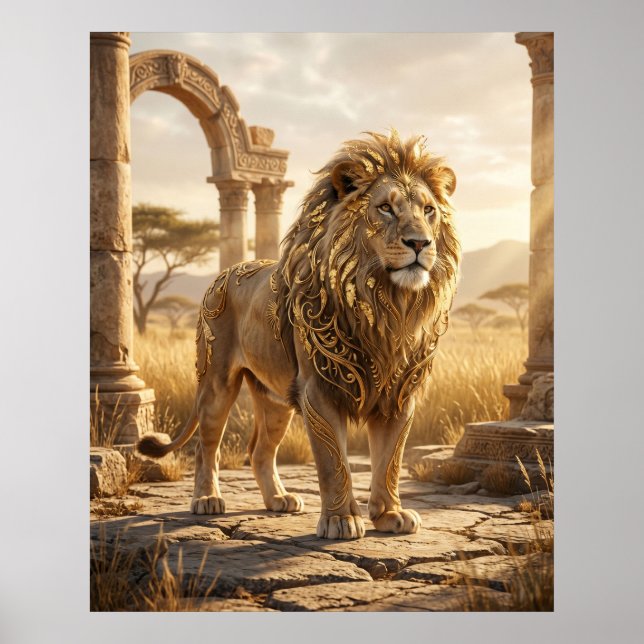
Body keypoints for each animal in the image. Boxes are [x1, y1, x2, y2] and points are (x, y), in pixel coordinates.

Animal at [137, 129, 460, 540]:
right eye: (386, 208)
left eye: (429, 210)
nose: (420, 243)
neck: (385, 305)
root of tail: (226, 272)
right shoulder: (318, 391)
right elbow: (332, 461)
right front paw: (341, 520)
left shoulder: (400, 394)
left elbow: (390, 460)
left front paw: (390, 515)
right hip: (216, 382)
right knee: (206, 445)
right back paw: (207, 499)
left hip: (274, 399)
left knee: (260, 450)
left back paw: (279, 499)